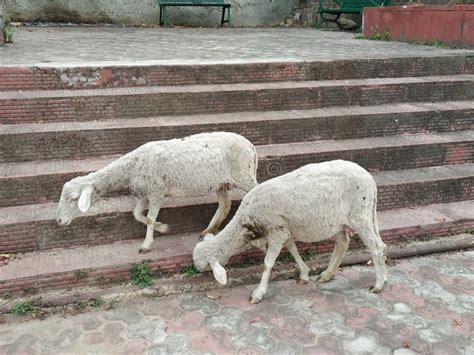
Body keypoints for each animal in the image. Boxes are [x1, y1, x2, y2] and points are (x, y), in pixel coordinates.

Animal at [57, 133, 258, 253]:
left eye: (73, 199)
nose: (58, 220)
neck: (131, 167)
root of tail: (251, 146)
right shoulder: (146, 193)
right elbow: (137, 214)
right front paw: (162, 227)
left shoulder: (156, 192)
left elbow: (149, 218)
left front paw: (146, 244)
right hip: (221, 183)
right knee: (225, 205)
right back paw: (208, 231)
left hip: (244, 175)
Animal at [193, 160, 388, 304]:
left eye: (204, 265)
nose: (198, 272)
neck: (244, 224)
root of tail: (370, 180)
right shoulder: (285, 231)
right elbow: (293, 250)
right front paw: (304, 274)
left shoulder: (277, 232)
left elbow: (267, 263)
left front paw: (258, 293)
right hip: (338, 221)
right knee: (342, 243)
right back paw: (327, 275)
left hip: (360, 215)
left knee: (376, 247)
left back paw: (379, 284)